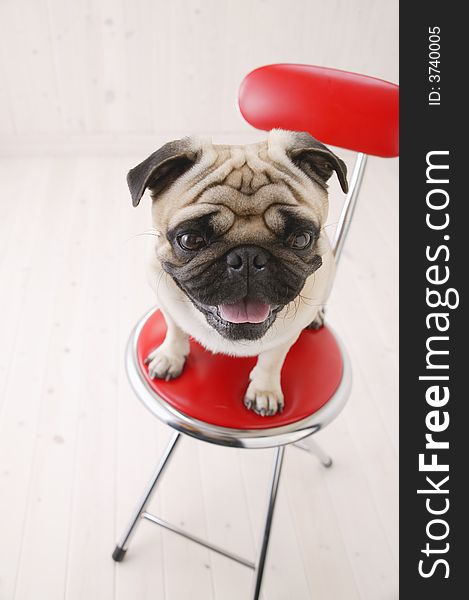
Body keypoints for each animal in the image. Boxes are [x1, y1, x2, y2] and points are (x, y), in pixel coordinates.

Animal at [126, 129, 346, 414]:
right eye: (190, 240)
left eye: (301, 239)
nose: (248, 257)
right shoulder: (165, 301)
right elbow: (175, 329)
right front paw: (170, 357)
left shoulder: (286, 337)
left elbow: (271, 360)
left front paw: (264, 390)